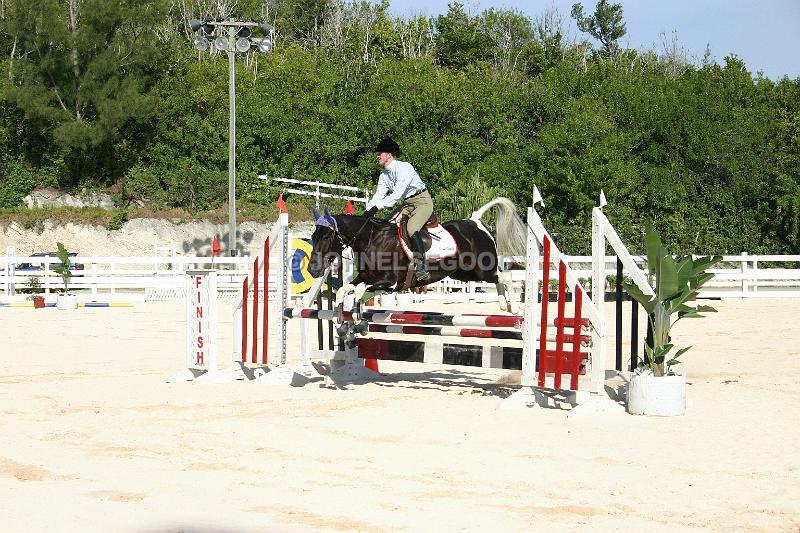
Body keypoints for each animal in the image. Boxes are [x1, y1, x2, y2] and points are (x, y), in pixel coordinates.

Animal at [310, 196, 528, 314]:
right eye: (313, 236)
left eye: (327, 236)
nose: (313, 270)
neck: (371, 240)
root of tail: (476, 222)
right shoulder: (364, 277)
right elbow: (344, 290)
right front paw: (341, 318)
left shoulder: (389, 283)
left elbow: (360, 291)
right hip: (465, 273)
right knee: (498, 278)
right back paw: (503, 305)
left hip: (481, 269)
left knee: (506, 277)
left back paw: (515, 309)